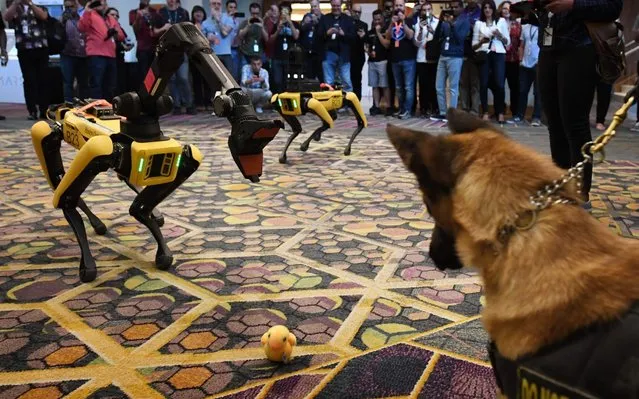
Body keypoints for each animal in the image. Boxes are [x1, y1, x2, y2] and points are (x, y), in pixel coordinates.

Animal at [31, 22, 282, 284]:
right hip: (60, 132)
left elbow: (141, 206)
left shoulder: (180, 158)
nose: (253, 172)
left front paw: (156, 237)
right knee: (50, 150)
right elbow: (68, 201)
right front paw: (87, 263)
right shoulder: (103, 149)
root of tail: (66, 105)